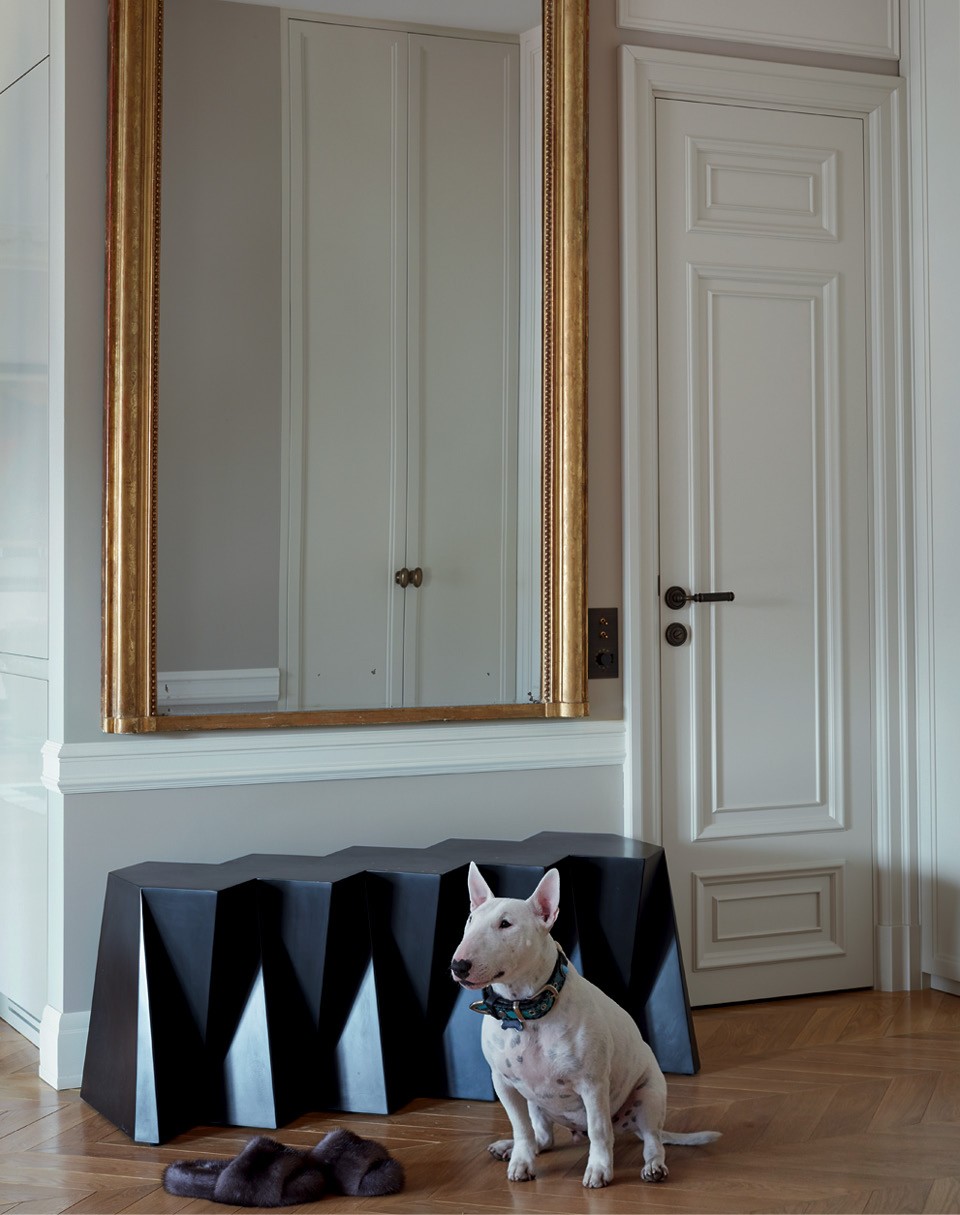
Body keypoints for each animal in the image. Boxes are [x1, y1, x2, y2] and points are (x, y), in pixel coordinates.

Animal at [450, 863, 719, 1188]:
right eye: (470, 920)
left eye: (506, 924)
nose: (458, 966)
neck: (527, 1011)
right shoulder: (504, 1084)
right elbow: (522, 1128)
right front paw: (521, 1162)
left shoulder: (592, 1085)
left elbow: (600, 1131)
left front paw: (599, 1170)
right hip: (536, 1103)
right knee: (543, 1137)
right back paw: (508, 1147)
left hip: (649, 1096)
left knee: (651, 1140)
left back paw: (654, 1167)